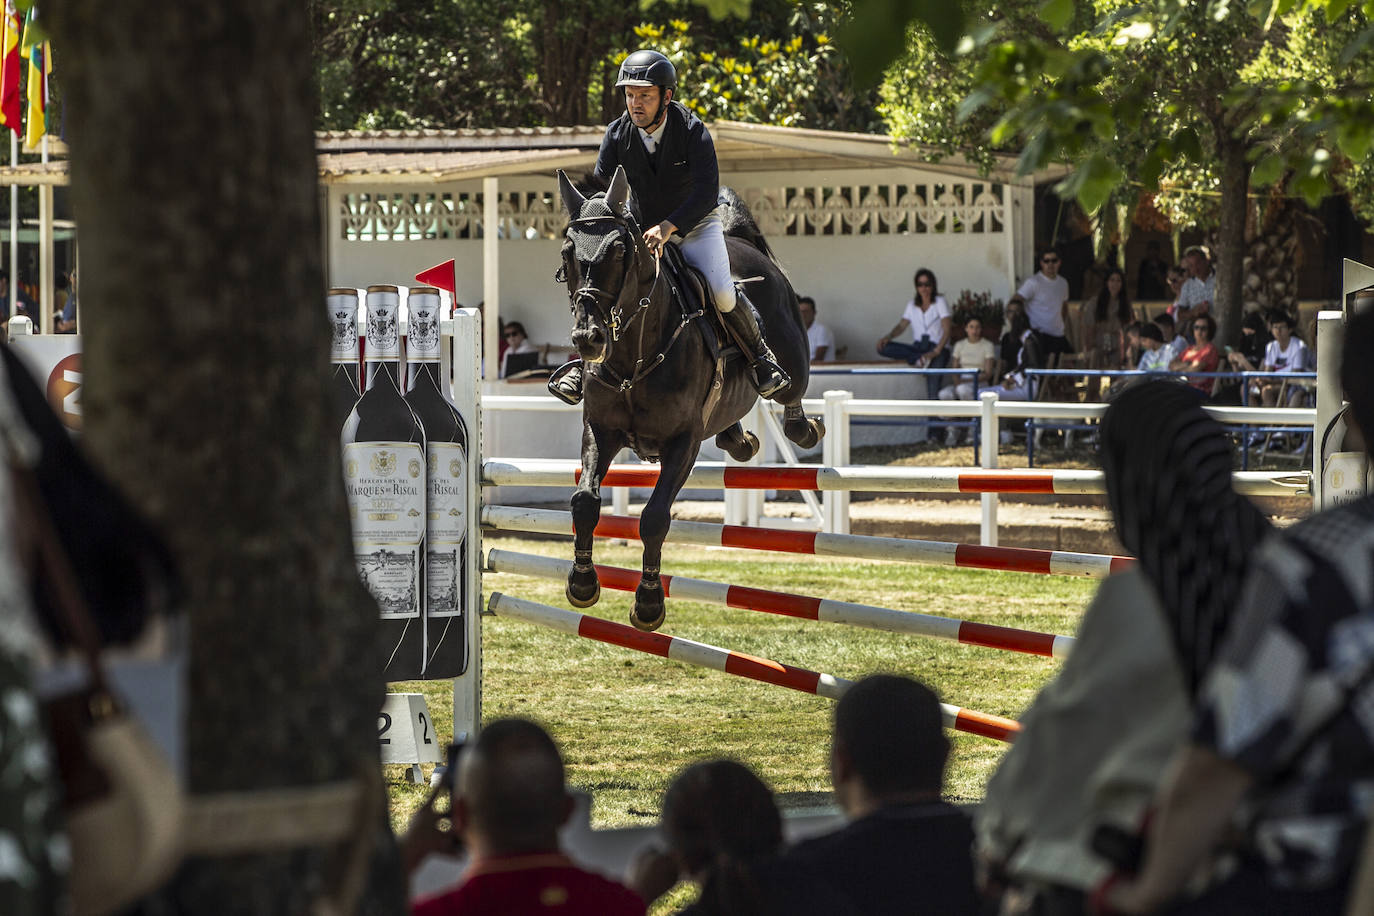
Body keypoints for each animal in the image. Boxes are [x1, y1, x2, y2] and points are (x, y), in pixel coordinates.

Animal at [552, 168, 818, 631]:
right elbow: (584, 501)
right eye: (568, 253)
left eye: (619, 251)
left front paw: (648, 603)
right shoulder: (600, 430)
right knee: (732, 427)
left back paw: (801, 425)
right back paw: (741, 440)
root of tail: (741, 242)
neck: (635, 353)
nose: (588, 339)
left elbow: (655, 517)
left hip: (791, 361)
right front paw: (582, 583)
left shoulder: (683, 443)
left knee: (790, 392)